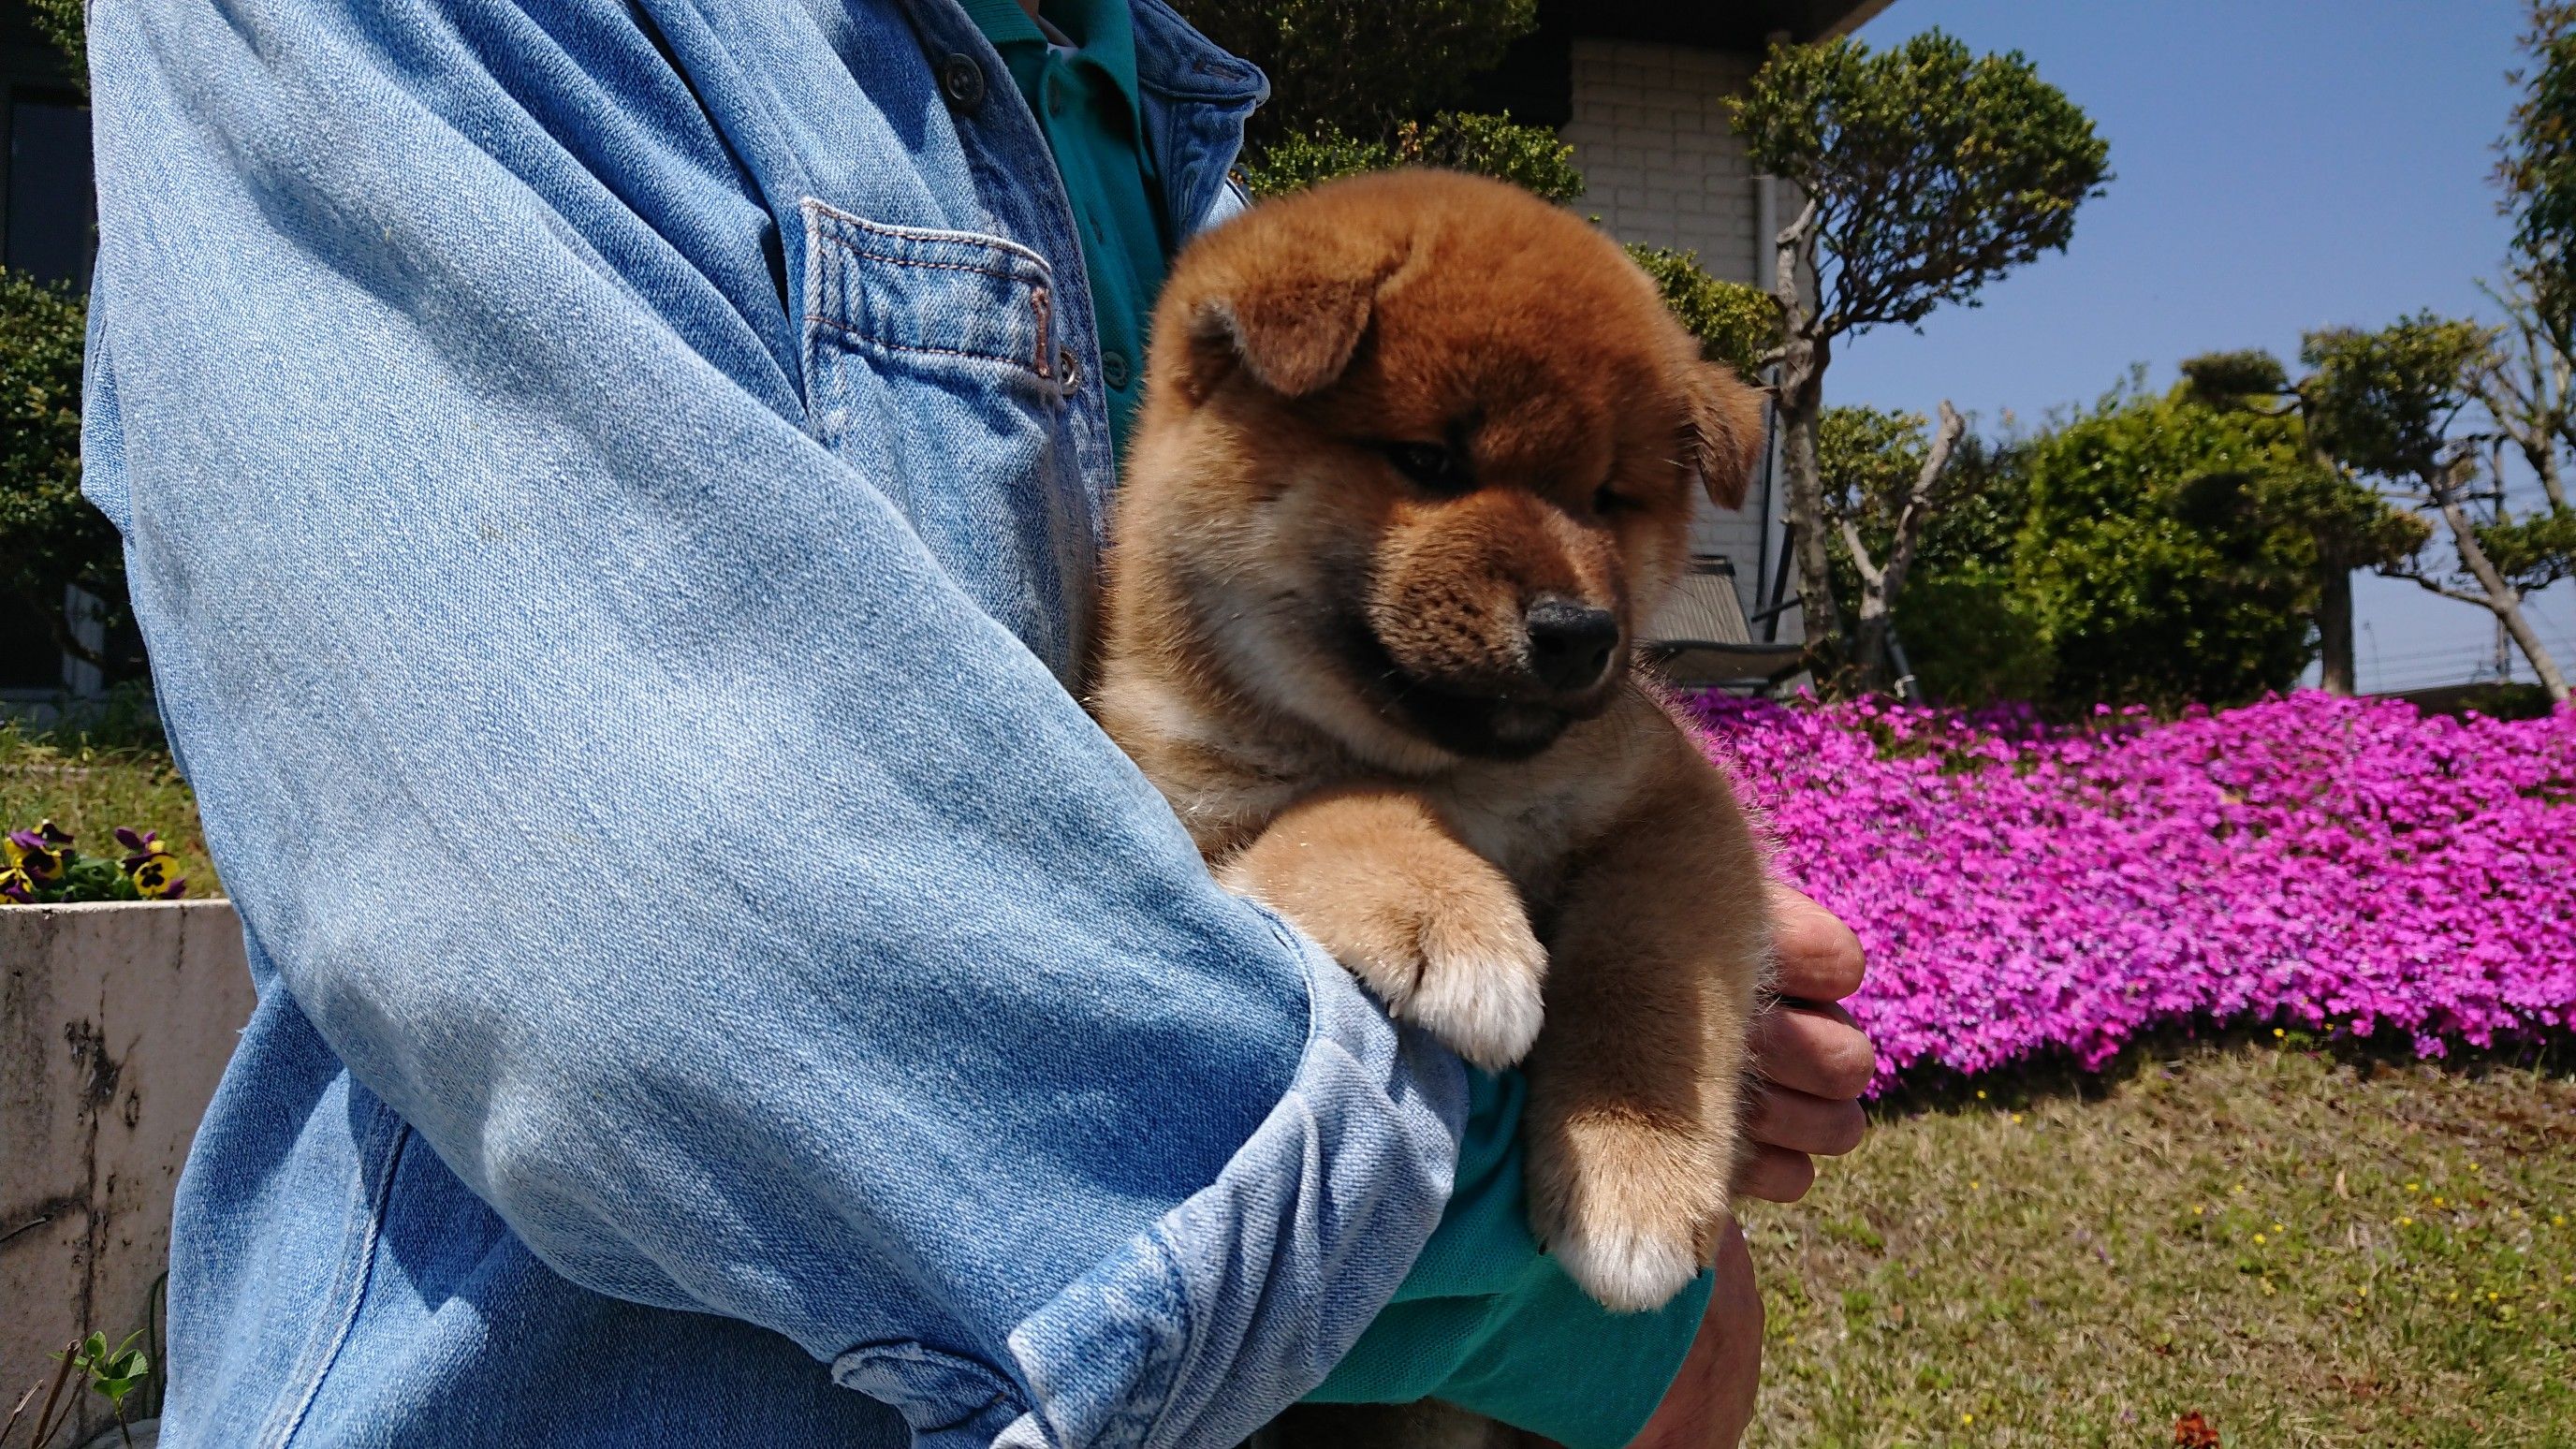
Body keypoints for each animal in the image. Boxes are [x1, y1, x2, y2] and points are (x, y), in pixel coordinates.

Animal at [1087, 166, 1772, 1340]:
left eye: (1607, 498)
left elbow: (1644, 968)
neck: (1456, 774)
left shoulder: (1673, 807)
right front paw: (1448, 917)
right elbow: (1331, 812)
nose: (1578, 632)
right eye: (1429, 462)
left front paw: (1633, 1170)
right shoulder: (1199, 813)